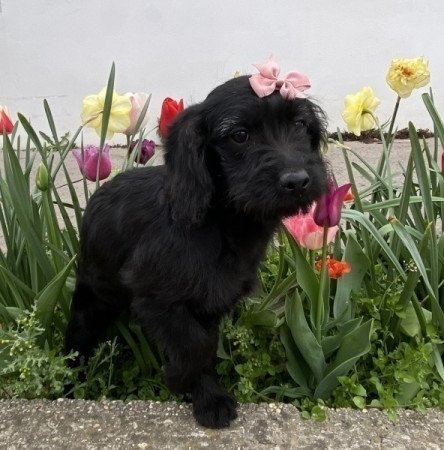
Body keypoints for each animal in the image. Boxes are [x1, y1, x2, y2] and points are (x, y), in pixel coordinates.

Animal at [67, 74, 330, 428]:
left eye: (300, 124)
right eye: (239, 135)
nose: (298, 181)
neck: (221, 222)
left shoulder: (211, 301)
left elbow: (204, 346)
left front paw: (208, 397)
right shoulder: (155, 297)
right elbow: (195, 346)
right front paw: (180, 380)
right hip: (93, 297)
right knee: (76, 338)